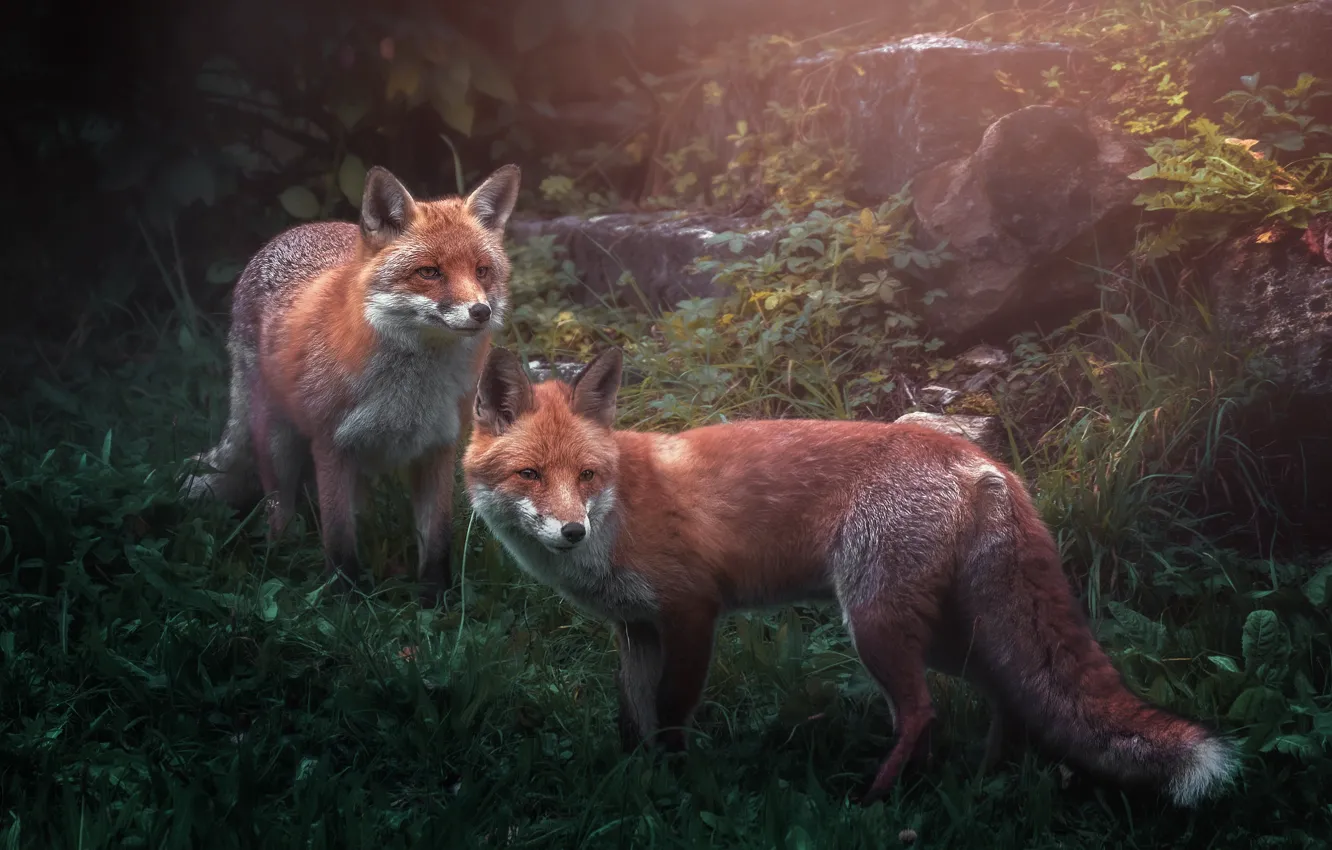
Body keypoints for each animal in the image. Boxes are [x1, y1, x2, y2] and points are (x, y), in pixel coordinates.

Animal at [181, 163, 521, 605]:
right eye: (429, 272)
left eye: (482, 271)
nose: (480, 311)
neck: (409, 394)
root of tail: (295, 231)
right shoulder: (331, 445)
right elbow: (339, 541)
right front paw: (343, 601)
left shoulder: (439, 447)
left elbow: (436, 540)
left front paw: (436, 600)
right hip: (278, 446)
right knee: (280, 512)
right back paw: (279, 560)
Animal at [461, 345, 1241, 808]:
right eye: (531, 475)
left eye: (587, 476)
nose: (570, 531)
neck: (620, 512)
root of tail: (983, 461)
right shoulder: (636, 628)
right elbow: (634, 720)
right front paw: (640, 783)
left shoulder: (690, 612)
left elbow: (674, 713)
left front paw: (675, 787)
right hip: (944, 629)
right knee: (1008, 693)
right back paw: (989, 781)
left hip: (875, 622)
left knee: (923, 711)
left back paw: (874, 799)